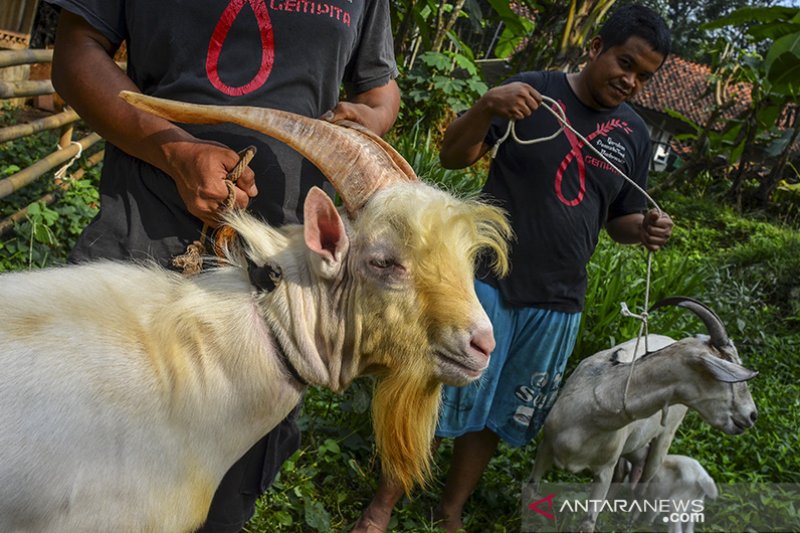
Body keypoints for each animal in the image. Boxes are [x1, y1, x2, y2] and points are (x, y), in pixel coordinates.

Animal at [532, 298, 756, 532]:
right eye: (731, 374)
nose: (751, 416)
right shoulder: (545, 447)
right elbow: (532, 493)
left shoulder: (604, 469)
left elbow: (588, 522)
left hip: (664, 438)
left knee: (643, 483)